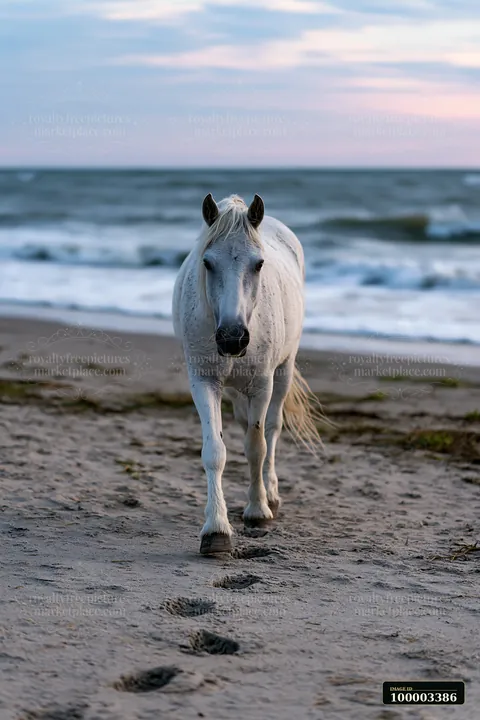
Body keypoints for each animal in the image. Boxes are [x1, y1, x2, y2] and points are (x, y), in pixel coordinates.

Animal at [173, 193, 322, 555]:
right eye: (207, 263)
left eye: (259, 264)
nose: (232, 337)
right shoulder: (204, 383)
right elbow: (215, 451)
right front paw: (216, 530)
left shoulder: (261, 386)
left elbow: (257, 446)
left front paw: (258, 511)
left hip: (282, 373)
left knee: (271, 429)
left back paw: (271, 494)